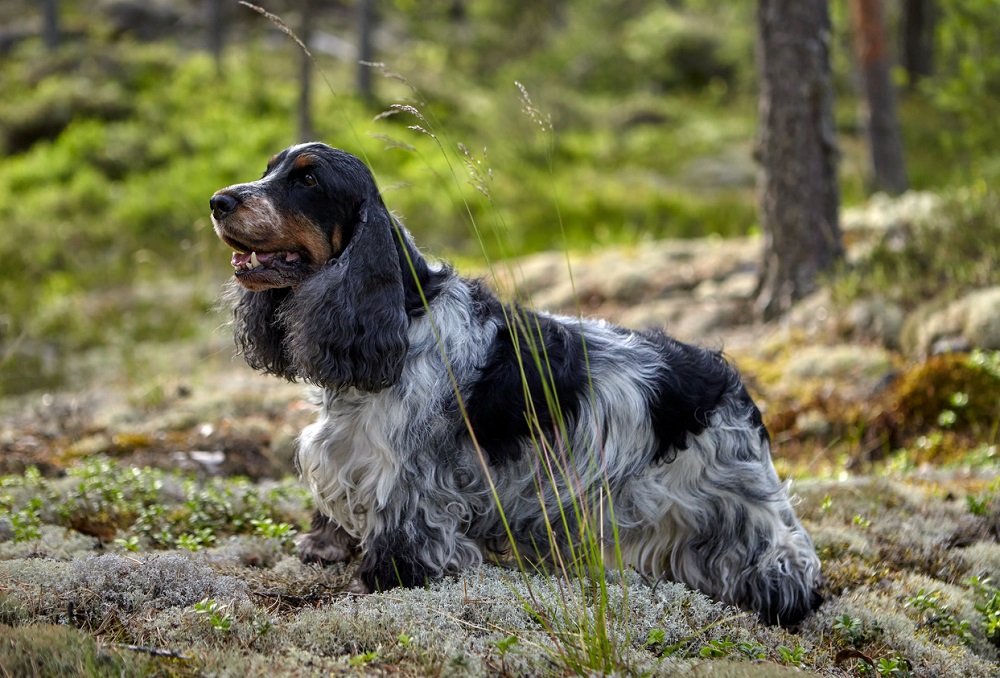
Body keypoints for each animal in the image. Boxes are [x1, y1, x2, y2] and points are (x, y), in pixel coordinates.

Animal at [209, 142, 820, 628]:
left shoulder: (409, 476)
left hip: (734, 496)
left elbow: (403, 534)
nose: (218, 201)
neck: (404, 315)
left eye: (308, 180)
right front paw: (324, 548)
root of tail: (729, 379)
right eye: (268, 169)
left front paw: (379, 582)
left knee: (789, 556)